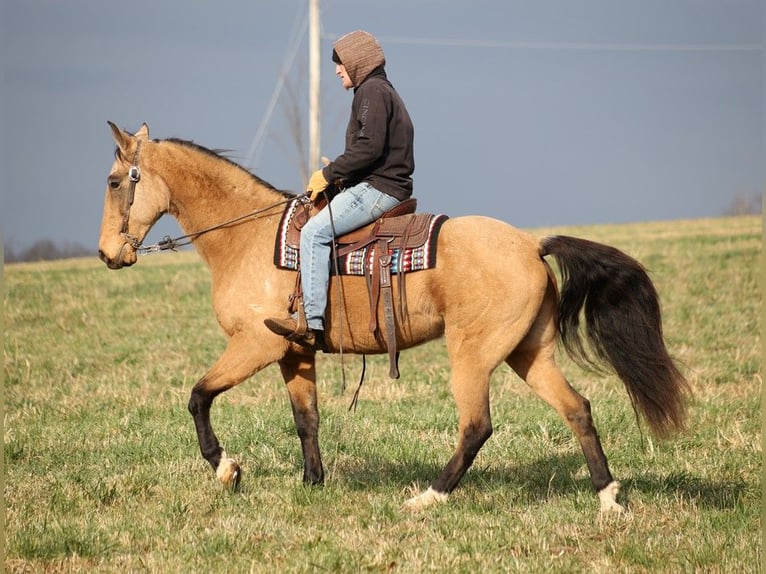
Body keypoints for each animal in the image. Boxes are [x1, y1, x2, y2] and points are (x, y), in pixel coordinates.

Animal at [98, 122, 689, 512]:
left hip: (472, 355)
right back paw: (609, 499)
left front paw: (227, 469)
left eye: (114, 181)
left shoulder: (255, 346)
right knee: (577, 409)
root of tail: (531, 244)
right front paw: (312, 484)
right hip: (527, 353)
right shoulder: (294, 352)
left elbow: (198, 396)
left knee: (477, 426)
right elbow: (306, 420)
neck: (248, 237)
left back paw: (429, 497)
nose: (107, 254)